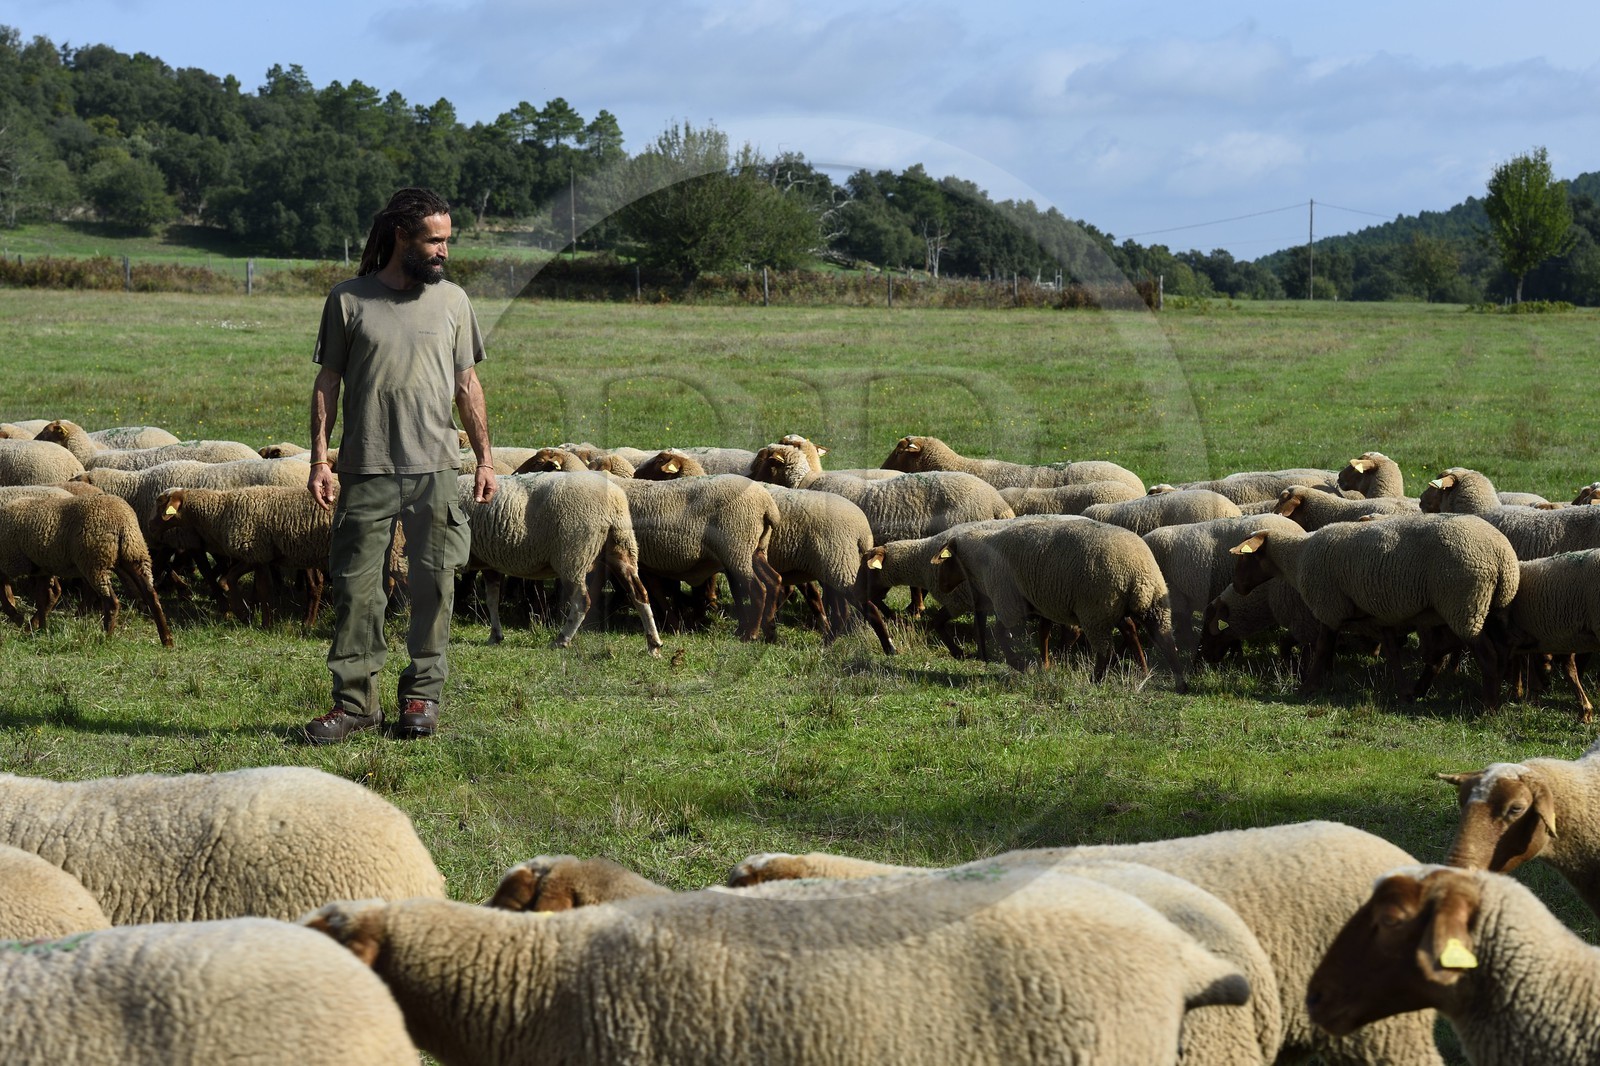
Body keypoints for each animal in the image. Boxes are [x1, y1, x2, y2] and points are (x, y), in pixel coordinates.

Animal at [0, 491, 174, 645]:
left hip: (95, 562)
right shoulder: (42, 568)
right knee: (151, 595)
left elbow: (7, 592)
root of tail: (123, 523)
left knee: (111, 602)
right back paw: (167, 640)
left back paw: (105, 638)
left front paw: (18, 618)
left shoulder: (11, 561)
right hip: (134, 555)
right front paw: (40, 629)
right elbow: (42, 599)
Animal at [459, 472, 662, 654]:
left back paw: (562, 639)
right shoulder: (488, 562)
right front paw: (495, 635)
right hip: (622, 548)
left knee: (581, 602)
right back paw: (653, 643)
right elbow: (492, 600)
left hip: (573, 555)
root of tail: (614, 500)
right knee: (639, 594)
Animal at [932, 515, 1188, 690]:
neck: (981, 558)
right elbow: (1041, 634)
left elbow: (1002, 634)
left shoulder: (1009, 602)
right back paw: (1175, 682)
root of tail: (1136, 570)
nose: (942, 585)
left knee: (1106, 649)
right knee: (1163, 640)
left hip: (1095, 610)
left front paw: (1022, 666)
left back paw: (1095, 681)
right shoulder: (1034, 603)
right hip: (1147, 604)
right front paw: (1039, 666)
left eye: (948, 560)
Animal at [1229, 513, 1519, 704]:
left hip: (1465, 604)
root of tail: (1501, 555)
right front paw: (1404, 692)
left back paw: (1488, 708)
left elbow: (1322, 650)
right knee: (1499, 652)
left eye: (1245, 558)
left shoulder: (1329, 606)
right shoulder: (1379, 614)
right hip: (1493, 608)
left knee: (1487, 656)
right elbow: (1392, 652)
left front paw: (1307, 687)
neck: (1297, 557)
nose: (1238, 587)